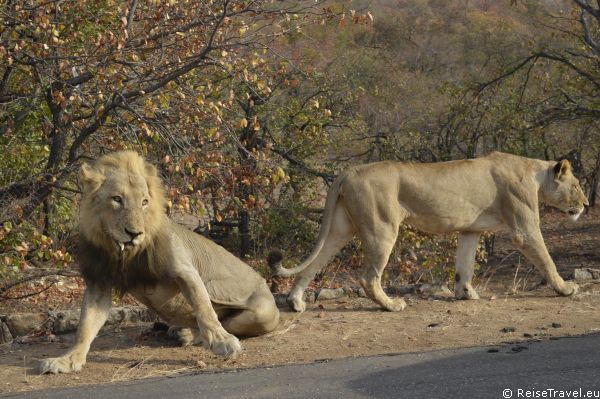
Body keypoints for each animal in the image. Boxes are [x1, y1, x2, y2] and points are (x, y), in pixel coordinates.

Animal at [39, 152, 278, 376]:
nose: (134, 234)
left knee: (225, 321)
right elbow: (85, 325)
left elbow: (204, 308)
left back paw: (190, 334)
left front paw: (222, 341)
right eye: (117, 199)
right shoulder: (100, 281)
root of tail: (265, 282)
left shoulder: (184, 270)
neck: (123, 253)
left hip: (261, 312)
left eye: (144, 202)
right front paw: (68, 359)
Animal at [272, 152, 592, 312]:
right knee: (368, 277)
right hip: (382, 227)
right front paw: (565, 288)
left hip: (341, 227)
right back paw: (391, 305)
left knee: (314, 263)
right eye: (577, 186)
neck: (535, 175)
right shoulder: (524, 229)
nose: (587, 204)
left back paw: (296, 302)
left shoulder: (469, 230)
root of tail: (349, 171)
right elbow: (547, 259)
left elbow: (465, 265)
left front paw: (466, 294)